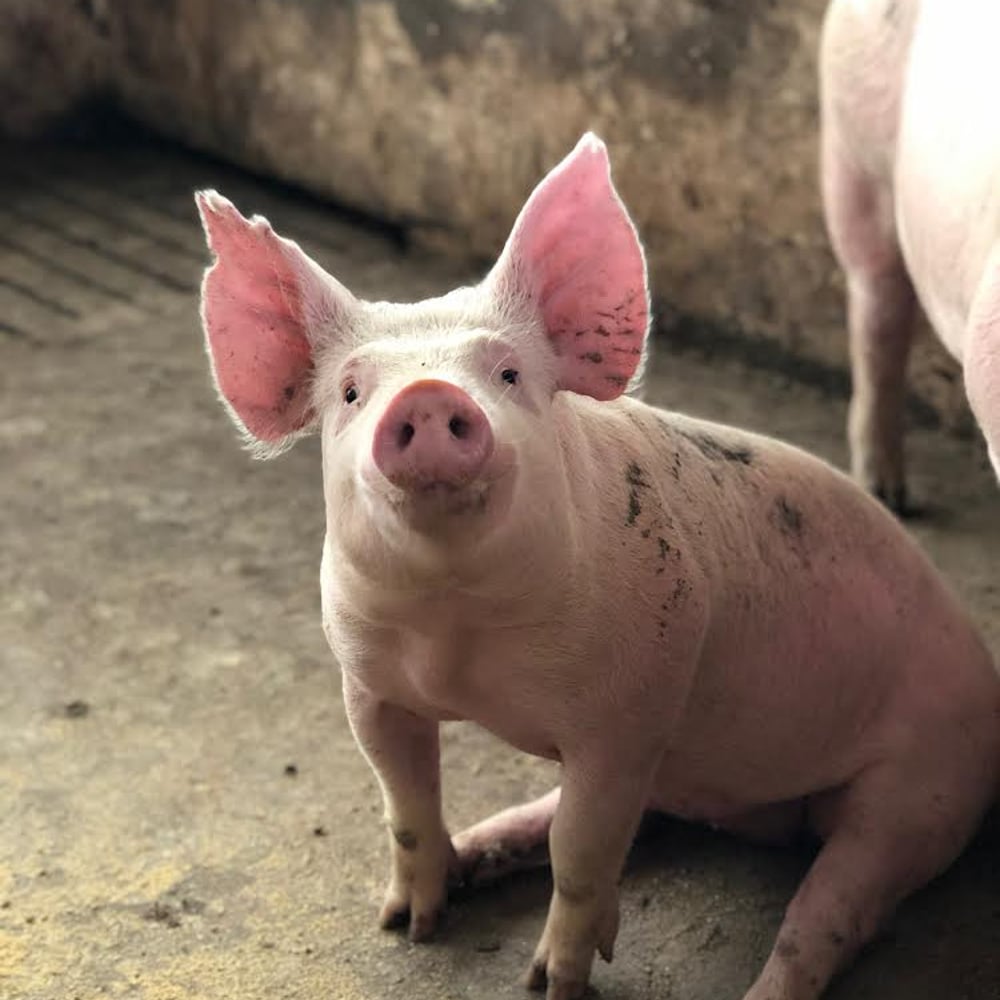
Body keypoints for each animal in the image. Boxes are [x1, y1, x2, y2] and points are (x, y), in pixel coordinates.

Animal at [195, 134, 1000, 1000]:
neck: (458, 630)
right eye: (350, 392)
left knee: (829, 912)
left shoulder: (629, 713)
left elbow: (581, 855)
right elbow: (406, 803)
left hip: (923, 783)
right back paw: (475, 853)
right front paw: (407, 926)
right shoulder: (369, 683)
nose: (429, 396)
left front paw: (549, 983)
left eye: (510, 374)